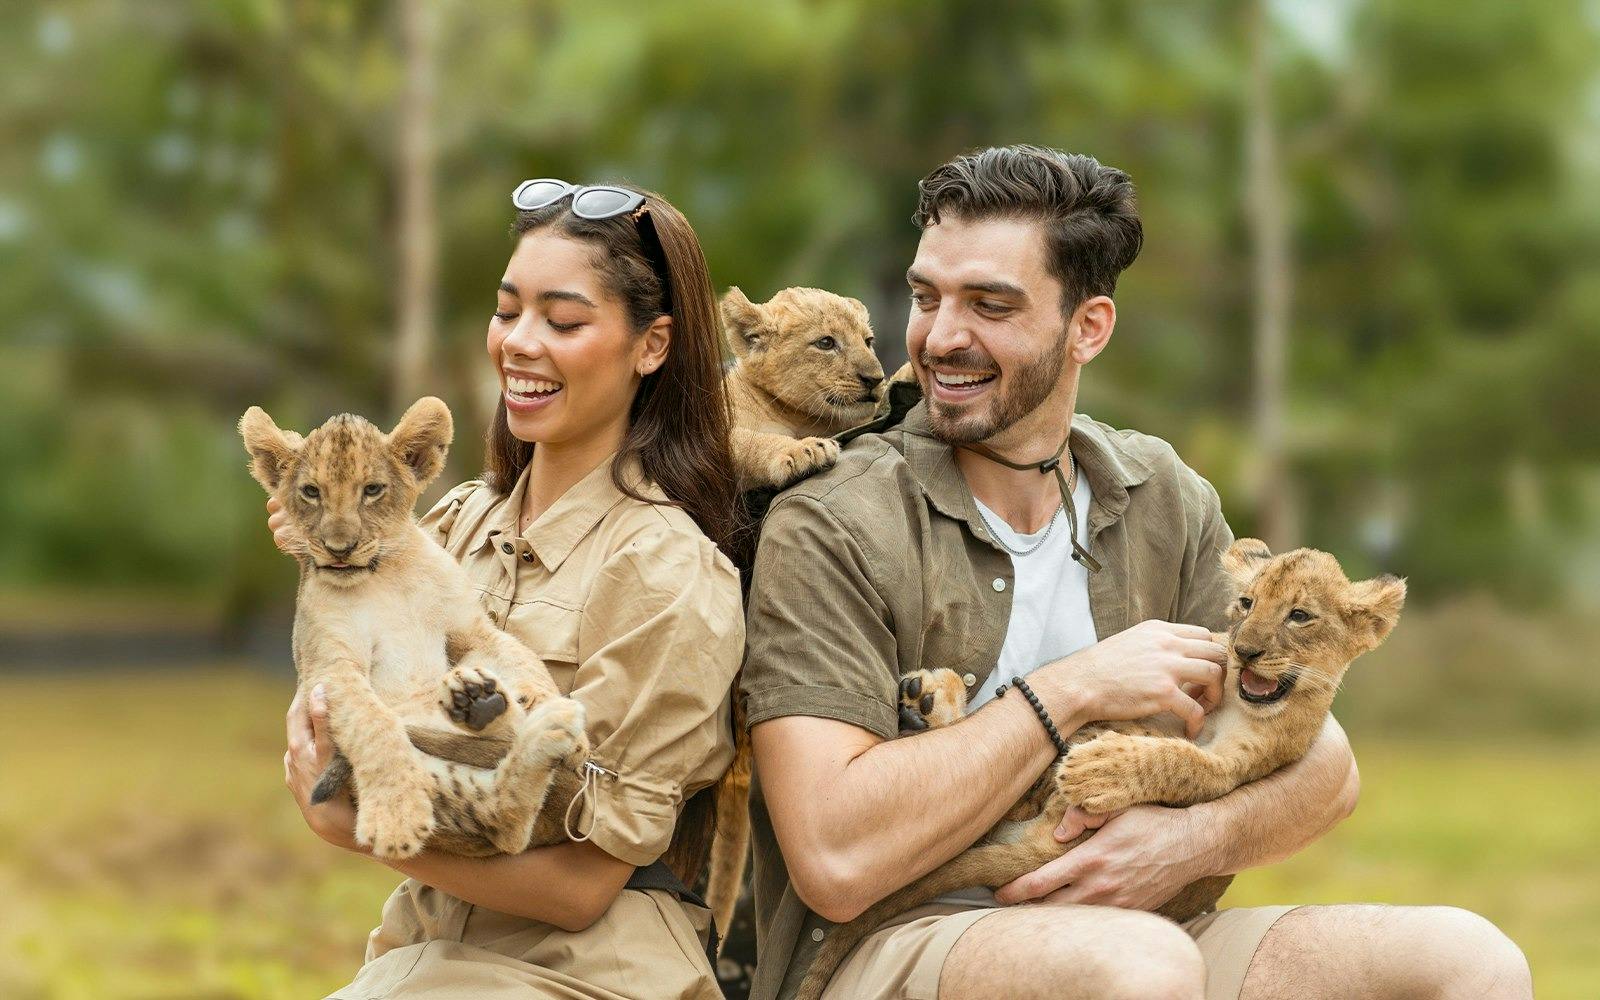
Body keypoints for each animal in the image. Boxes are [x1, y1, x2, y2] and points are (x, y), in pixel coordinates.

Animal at [239, 397, 589, 861]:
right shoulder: (330, 667)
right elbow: (374, 727)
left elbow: (522, 658)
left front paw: (577, 737)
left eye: (372, 490)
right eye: (311, 492)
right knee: (502, 822)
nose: (339, 549)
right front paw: (396, 816)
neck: (384, 575)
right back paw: (504, 713)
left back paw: (496, 706)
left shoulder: (470, 628)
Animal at [795, 539, 1406, 1000]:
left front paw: (1103, 768)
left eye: (1299, 616)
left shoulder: (1240, 769)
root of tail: (1039, 847)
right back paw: (929, 696)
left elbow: (1184, 762)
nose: (1247, 651)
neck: (1235, 701)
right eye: (1246, 603)